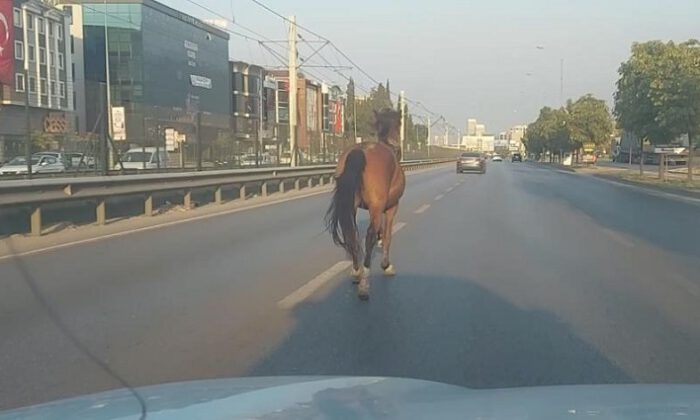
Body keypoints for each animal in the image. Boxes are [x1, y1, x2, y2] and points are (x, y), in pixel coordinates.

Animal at [324, 108, 404, 298]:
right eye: (400, 124)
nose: (399, 148)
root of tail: (359, 152)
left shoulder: (374, 208)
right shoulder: (391, 207)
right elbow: (387, 235)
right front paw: (386, 265)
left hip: (351, 205)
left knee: (351, 234)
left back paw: (356, 271)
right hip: (376, 206)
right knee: (368, 237)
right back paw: (365, 282)